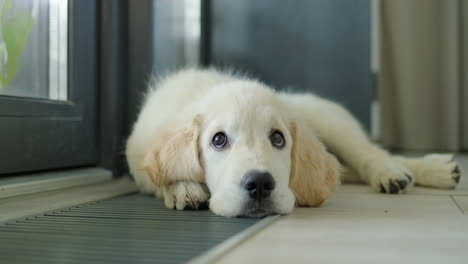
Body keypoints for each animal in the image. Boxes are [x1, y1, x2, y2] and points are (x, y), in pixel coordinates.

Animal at [126, 68, 462, 217]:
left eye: (278, 138)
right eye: (218, 140)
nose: (260, 184)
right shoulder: (139, 156)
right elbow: (163, 175)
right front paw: (184, 188)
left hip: (326, 117)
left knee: (368, 151)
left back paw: (401, 172)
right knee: (348, 168)